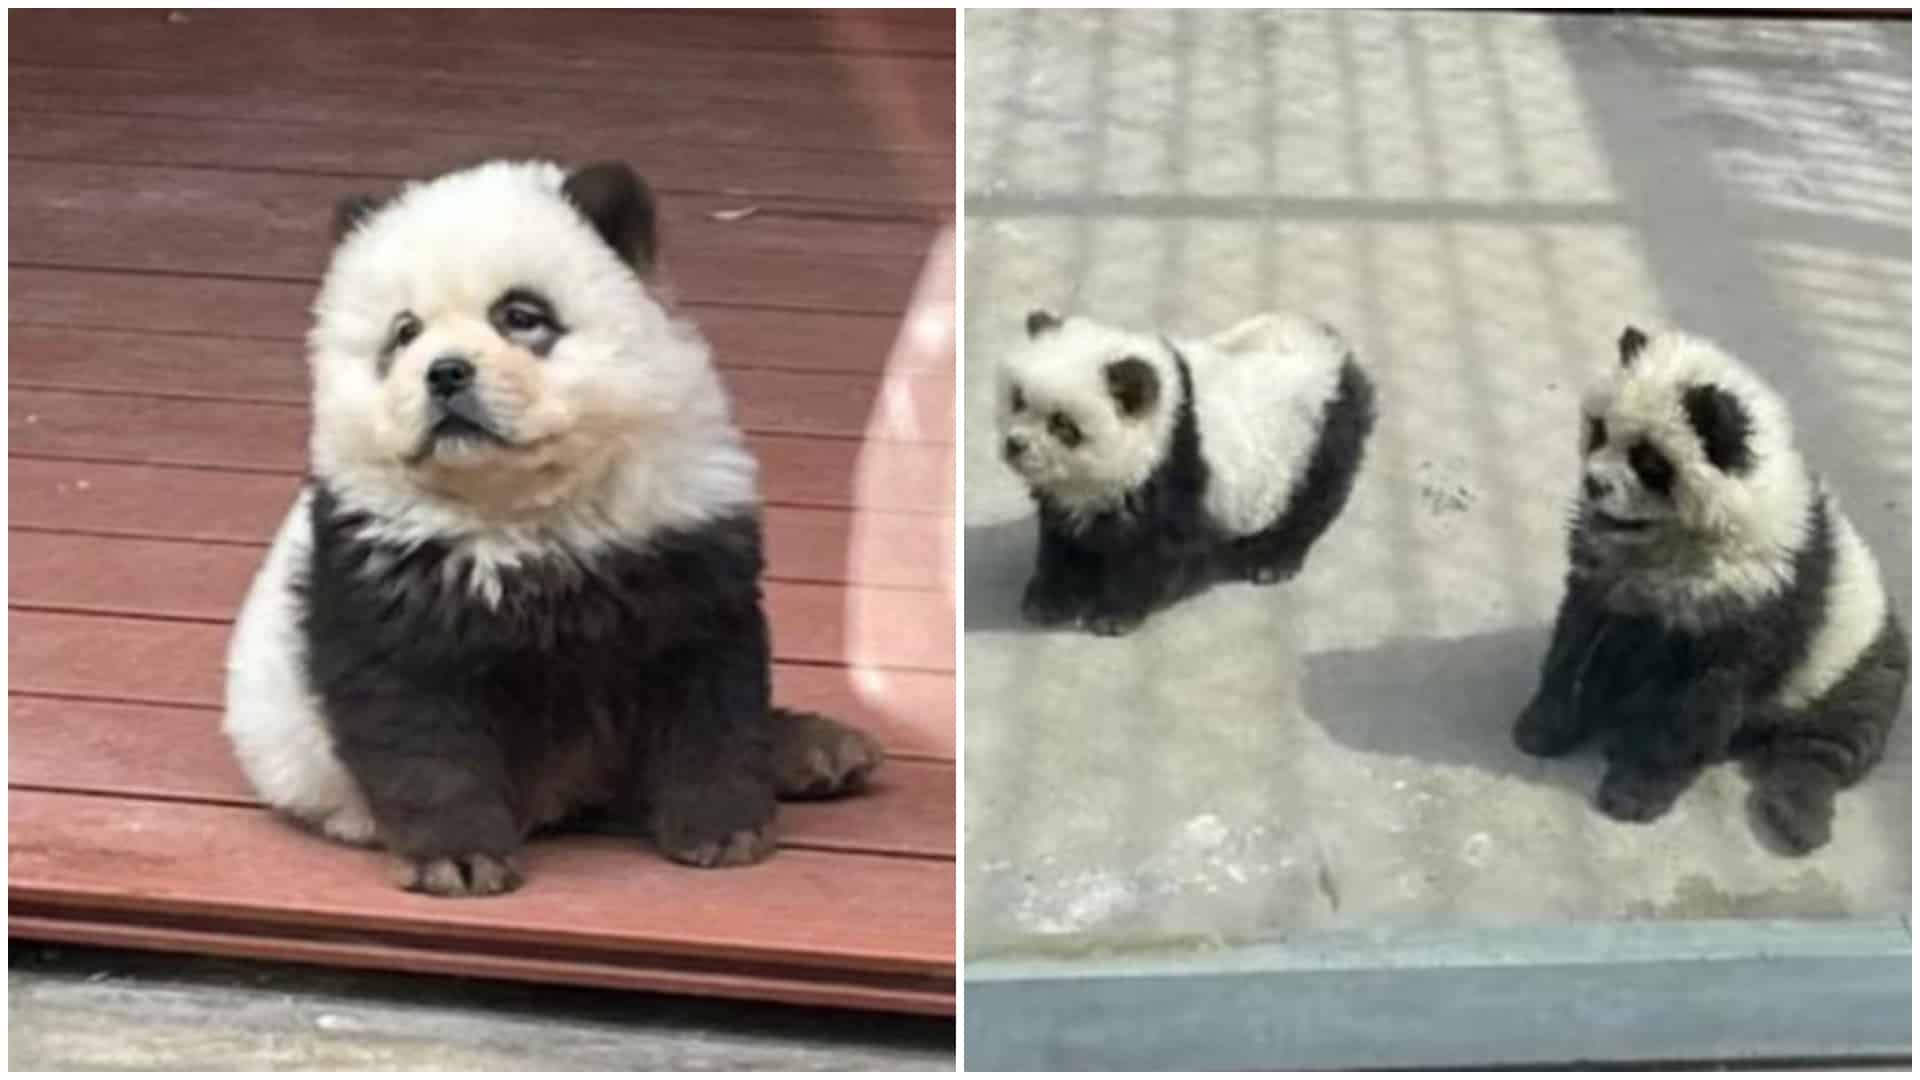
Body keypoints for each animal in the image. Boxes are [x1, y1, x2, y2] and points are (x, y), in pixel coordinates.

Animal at [222, 159, 884, 897]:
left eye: (520, 316)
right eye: (404, 333)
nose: (445, 373)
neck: (521, 505)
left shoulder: (679, 538)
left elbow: (708, 692)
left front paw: (725, 830)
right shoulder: (384, 568)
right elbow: (418, 726)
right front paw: (458, 859)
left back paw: (816, 751)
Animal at [995, 310, 1375, 635]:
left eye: (1062, 424)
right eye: (1018, 400)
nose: (1015, 446)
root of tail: (1339, 352)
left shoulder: (1172, 471)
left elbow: (1156, 547)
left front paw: (1112, 615)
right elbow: (1062, 539)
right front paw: (1048, 601)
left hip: (1318, 438)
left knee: (1311, 503)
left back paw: (1272, 561)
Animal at [1514, 325, 1908, 855]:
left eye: (1649, 462)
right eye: (1598, 430)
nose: (1594, 484)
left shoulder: (1754, 601)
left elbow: (1698, 704)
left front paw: (1635, 793)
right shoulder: (1605, 578)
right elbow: (1577, 643)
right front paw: (1543, 726)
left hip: (1854, 663)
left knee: (1833, 742)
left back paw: (1796, 814)